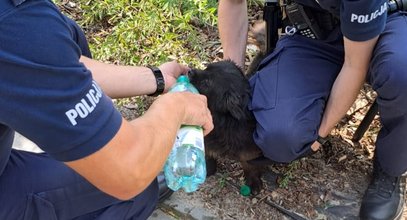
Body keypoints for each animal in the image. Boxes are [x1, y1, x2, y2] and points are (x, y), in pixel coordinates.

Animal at [189, 60, 268, 194]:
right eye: (206, 68)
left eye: (207, 82)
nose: (189, 71)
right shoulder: (207, 139)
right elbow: (208, 154)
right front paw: (208, 168)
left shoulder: (249, 150)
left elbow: (250, 165)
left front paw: (253, 181)